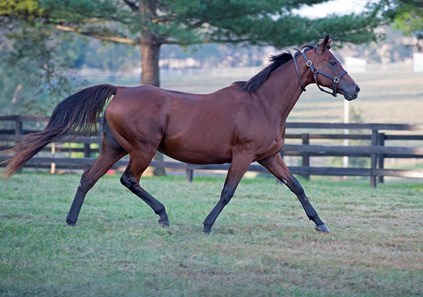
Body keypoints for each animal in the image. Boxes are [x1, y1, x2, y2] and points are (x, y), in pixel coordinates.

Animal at [4, 35, 362, 234]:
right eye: (332, 61)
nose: (354, 89)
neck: (262, 103)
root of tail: (120, 90)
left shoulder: (270, 156)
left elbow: (297, 186)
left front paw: (320, 223)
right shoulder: (244, 156)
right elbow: (227, 193)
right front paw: (207, 225)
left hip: (113, 148)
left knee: (87, 179)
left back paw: (71, 220)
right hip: (143, 150)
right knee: (128, 180)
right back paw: (162, 216)